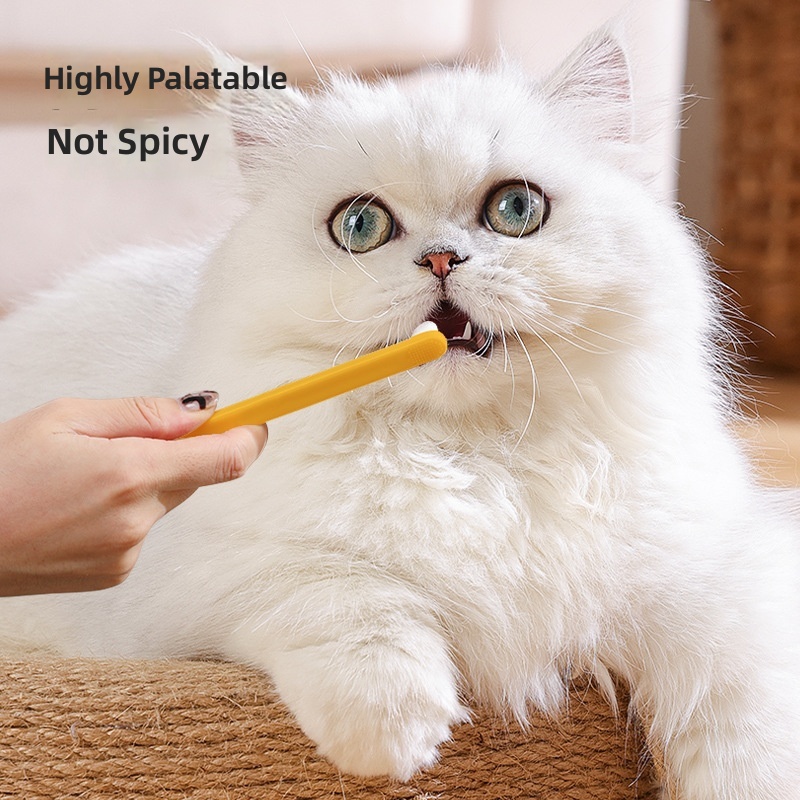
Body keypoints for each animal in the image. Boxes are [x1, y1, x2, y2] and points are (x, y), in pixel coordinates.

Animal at [1, 30, 799, 799]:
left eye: (516, 210)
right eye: (361, 226)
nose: (442, 258)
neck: (473, 454)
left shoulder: (713, 567)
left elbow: (741, 703)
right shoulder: (194, 578)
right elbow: (350, 601)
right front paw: (395, 738)